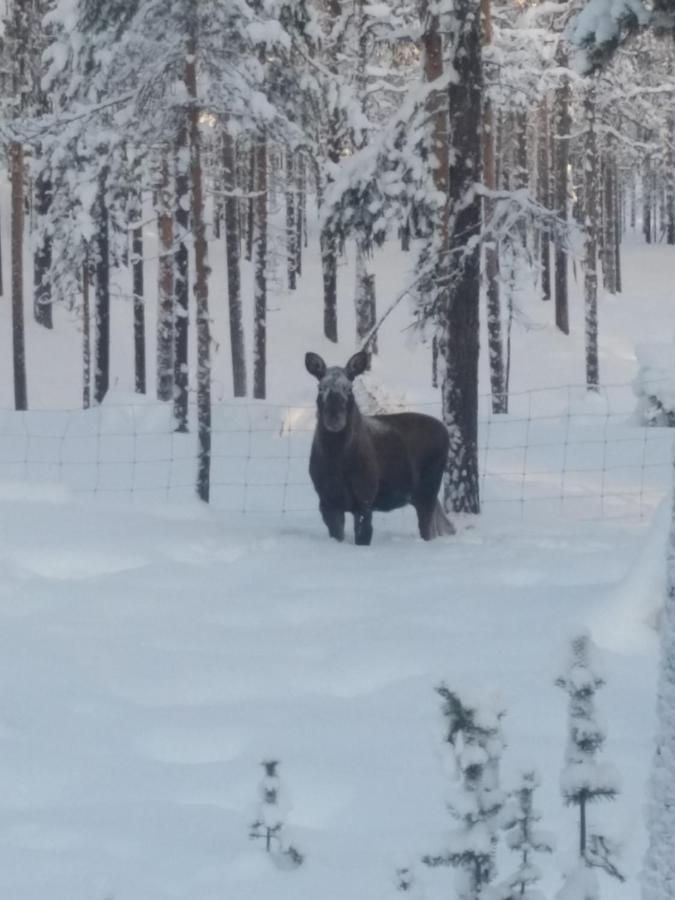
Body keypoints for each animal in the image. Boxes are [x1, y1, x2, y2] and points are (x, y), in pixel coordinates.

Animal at [308, 350, 456, 548]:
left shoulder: (365, 497)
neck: (336, 459)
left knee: (429, 529)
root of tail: (444, 431)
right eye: (320, 388)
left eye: (349, 388)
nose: (334, 417)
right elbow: (337, 535)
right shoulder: (327, 501)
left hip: (428, 489)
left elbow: (364, 535)